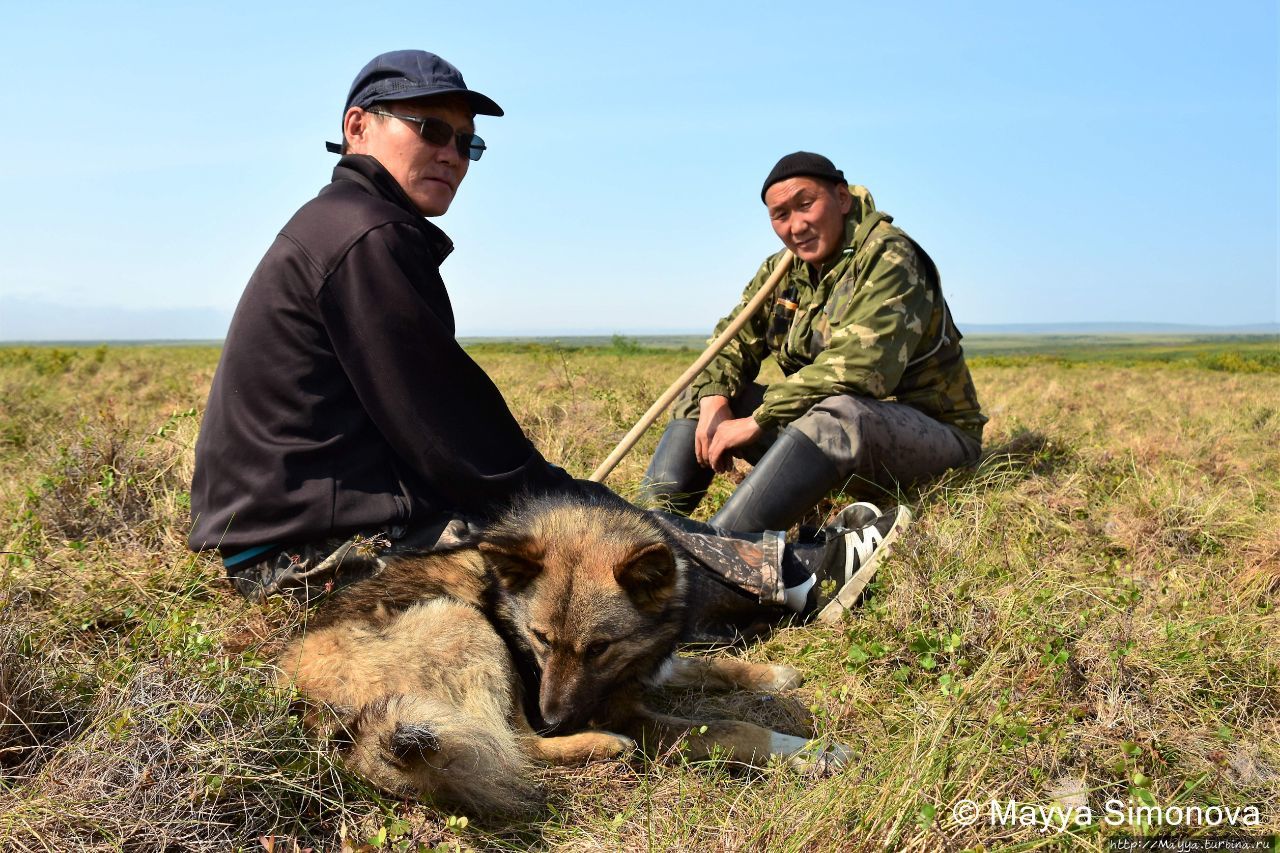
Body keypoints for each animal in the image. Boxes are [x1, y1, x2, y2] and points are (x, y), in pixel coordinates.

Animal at [277, 484, 849, 809]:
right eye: (539, 639)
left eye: (598, 649)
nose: (555, 718)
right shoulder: (629, 714)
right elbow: (734, 728)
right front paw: (809, 752)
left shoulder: (643, 667)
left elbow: (707, 666)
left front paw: (774, 676)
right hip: (463, 623)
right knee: (515, 745)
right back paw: (602, 746)